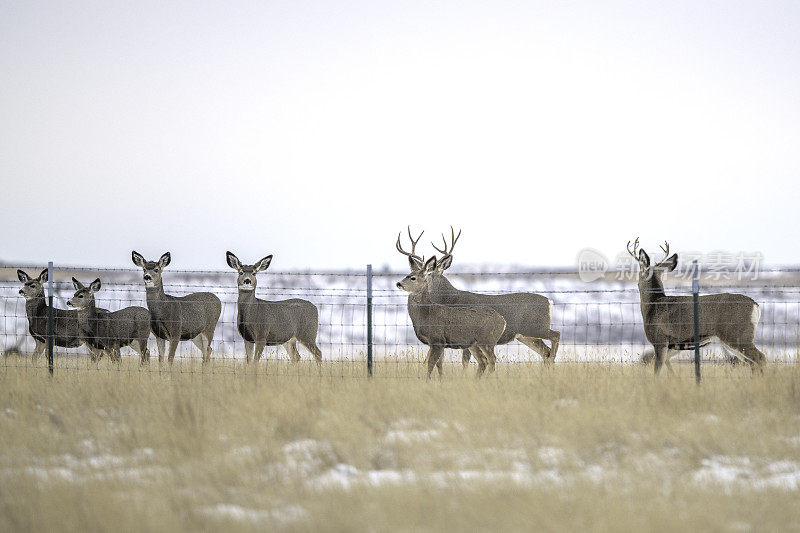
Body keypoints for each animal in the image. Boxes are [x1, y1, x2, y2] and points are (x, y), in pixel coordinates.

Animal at [396, 231, 506, 376]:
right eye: (407, 274)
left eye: (413, 278)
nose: (398, 283)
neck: (425, 314)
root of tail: (503, 321)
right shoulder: (436, 343)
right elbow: (438, 364)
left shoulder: (438, 340)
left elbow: (430, 365)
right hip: (474, 343)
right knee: (483, 361)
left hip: (487, 339)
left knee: (492, 359)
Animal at [400, 227, 564, 364]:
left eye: (430, 272)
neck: (450, 299)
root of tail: (549, 301)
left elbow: (465, 361)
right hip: (526, 335)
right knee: (545, 351)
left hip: (536, 327)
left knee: (555, 336)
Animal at [628, 238, 764, 374]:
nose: (636, 281)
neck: (653, 304)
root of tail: (756, 305)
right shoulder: (673, 346)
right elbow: (669, 366)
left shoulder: (660, 340)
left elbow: (657, 370)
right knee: (752, 362)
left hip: (737, 334)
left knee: (760, 357)